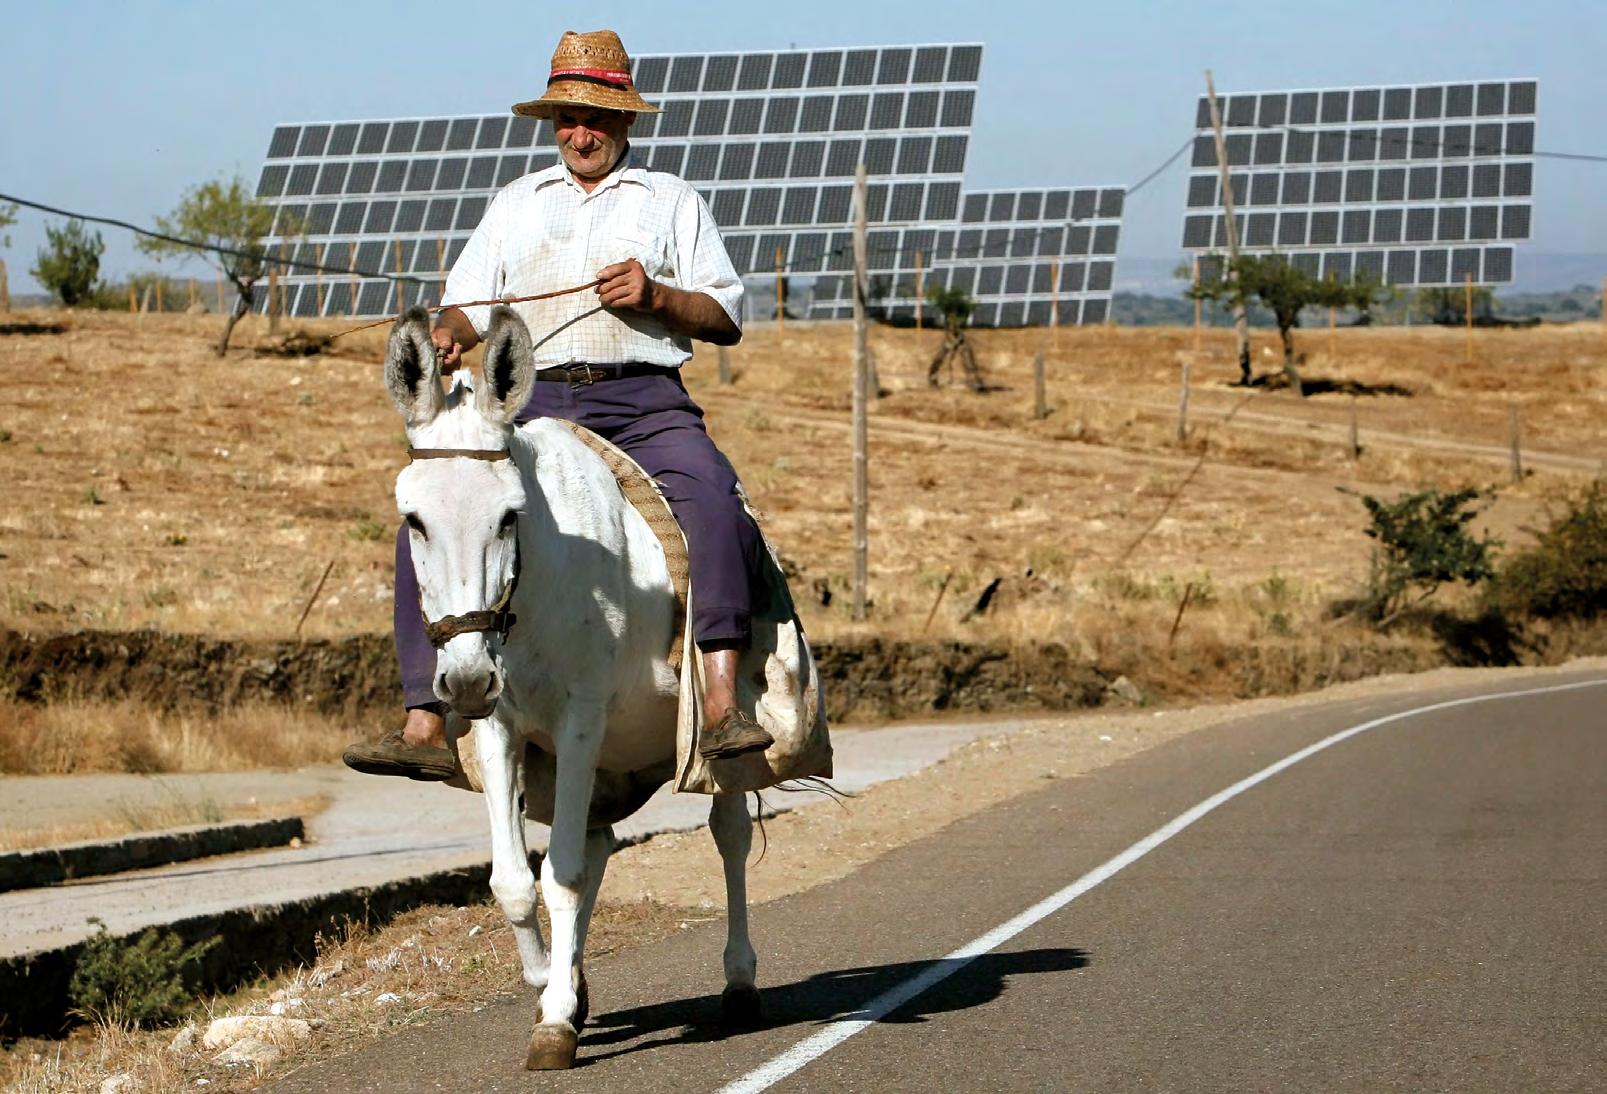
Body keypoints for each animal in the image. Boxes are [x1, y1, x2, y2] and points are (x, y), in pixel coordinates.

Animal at [383, 305, 762, 1070]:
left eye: (509, 517)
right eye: (414, 520)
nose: (464, 679)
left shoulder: (581, 721)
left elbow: (559, 874)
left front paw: (556, 1018)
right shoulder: (502, 729)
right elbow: (514, 881)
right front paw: (549, 984)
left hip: (712, 740)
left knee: (729, 834)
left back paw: (739, 982)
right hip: (598, 766)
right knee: (596, 845)